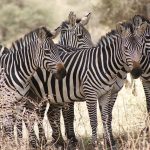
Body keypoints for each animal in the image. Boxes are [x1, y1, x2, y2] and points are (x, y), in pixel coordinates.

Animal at [28, 21, 145, 150]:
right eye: (125, 48)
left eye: (141, 47)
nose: (137, 72)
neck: (105, 65)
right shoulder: (91, 94)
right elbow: (94, 120)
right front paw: (95, 144)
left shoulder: (107, 93)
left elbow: (106, 117)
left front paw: (109, 142)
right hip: (36, 93)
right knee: (36, 115)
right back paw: (40, 142)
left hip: (54, 93)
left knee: (50, 114)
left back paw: (59, 142)